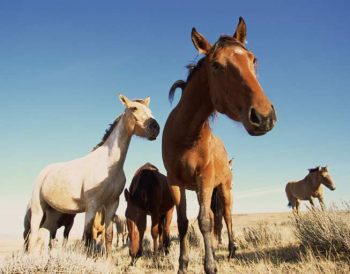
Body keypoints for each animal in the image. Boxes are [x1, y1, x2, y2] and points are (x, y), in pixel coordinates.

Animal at [27, 94, 160, 255]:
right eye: (134, 108)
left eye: (150, 110)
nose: (155, 128)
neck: (108, 164)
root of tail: (44, 172)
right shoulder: (92, 206)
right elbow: (88, 238)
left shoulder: (112, 204)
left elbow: (108, 235)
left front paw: (108, 259)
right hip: (38, 209)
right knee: (33, 236)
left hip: (54, 212)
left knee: (42, 235)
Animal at [161, 17, 276, 274]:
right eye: (215, 65)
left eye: (253, 59)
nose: (264, 116)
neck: (186, 135)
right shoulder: (175, 181)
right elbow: (183, 223)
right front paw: (183, 265)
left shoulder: (204, 178)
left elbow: (204, 221)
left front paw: (210, 266)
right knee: (216, 218)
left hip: (224, 189)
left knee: (228, 216)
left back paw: (232, 250)